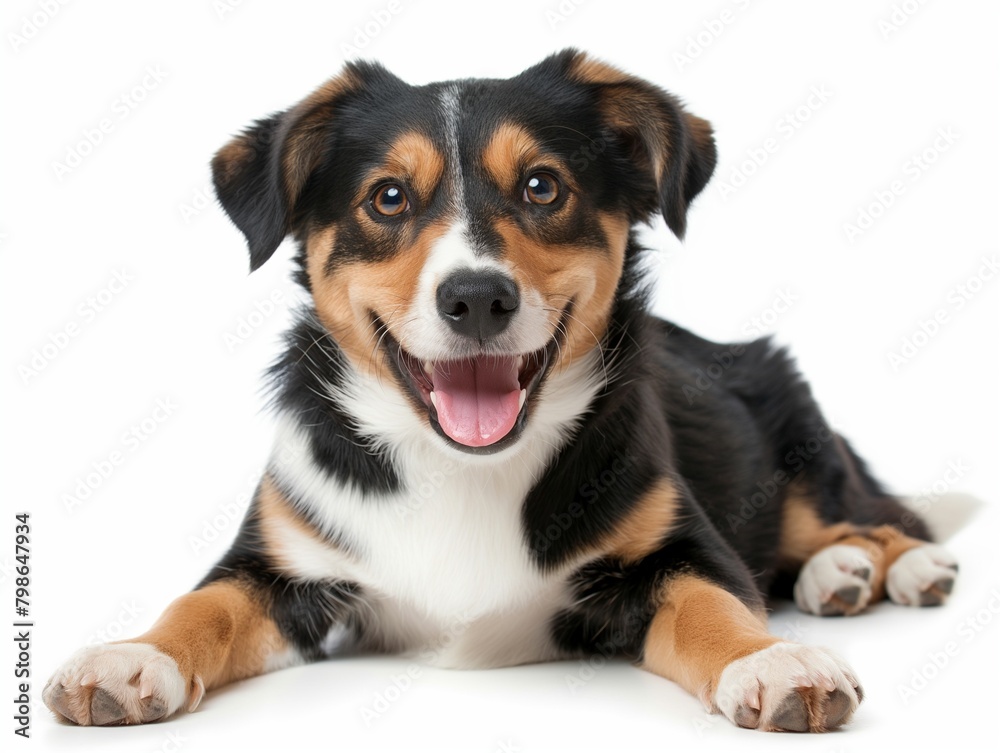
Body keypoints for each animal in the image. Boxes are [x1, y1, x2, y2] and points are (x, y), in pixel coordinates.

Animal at [43, 47, 956, 728]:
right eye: (387, 197)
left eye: (542, 185)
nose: (478, 296)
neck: (463, 468)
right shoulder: (277, 560)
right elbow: (205, 604)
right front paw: (131, 657)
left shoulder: (676, 547)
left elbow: (714, 605)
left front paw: (774, 660)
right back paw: (838, 577)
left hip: (800, 459)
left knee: (877, 519)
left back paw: (895, 569)